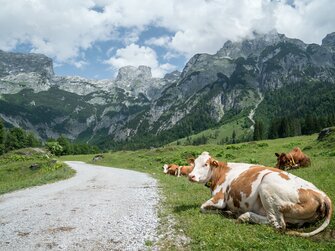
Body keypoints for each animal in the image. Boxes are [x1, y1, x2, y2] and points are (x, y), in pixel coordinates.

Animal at [189, 151, 334, 237]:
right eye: (194, 163)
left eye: (205, 164)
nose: (191, 176)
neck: (221, 173)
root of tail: (323, 195)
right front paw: (227, 212)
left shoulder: (219, 198)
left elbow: (202, 208)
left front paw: (223, 212)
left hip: (267, 185)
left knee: (277, 224)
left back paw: (243, 216)